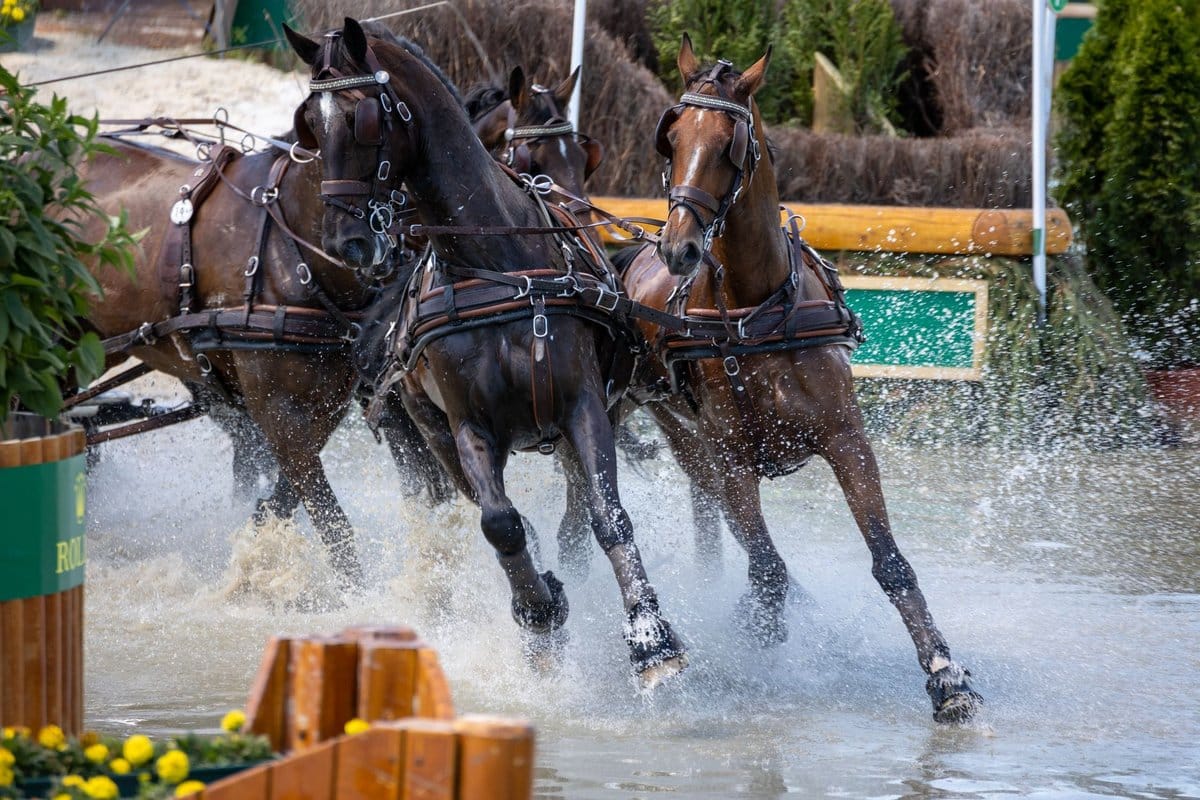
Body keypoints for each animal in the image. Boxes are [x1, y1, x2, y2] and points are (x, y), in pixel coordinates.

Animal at [284, 18, 688, 687]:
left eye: (365, 119)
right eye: (309, 126)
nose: (346, 242)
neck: (495, 265)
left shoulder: (582, 405)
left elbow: (609, 517)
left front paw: (651, 639)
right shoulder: (467, 423)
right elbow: (499, 524)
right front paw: (540, 610)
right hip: (428, 430)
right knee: (485, 510)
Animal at [611, 35, 983, 722]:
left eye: (730, 142)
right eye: (671, 138)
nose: (679, 248)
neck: (761, 313)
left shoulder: (846, 441)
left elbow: (890, 564)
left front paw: (946, 675)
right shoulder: (733, 457)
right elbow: (765, 570)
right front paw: (764, 635)